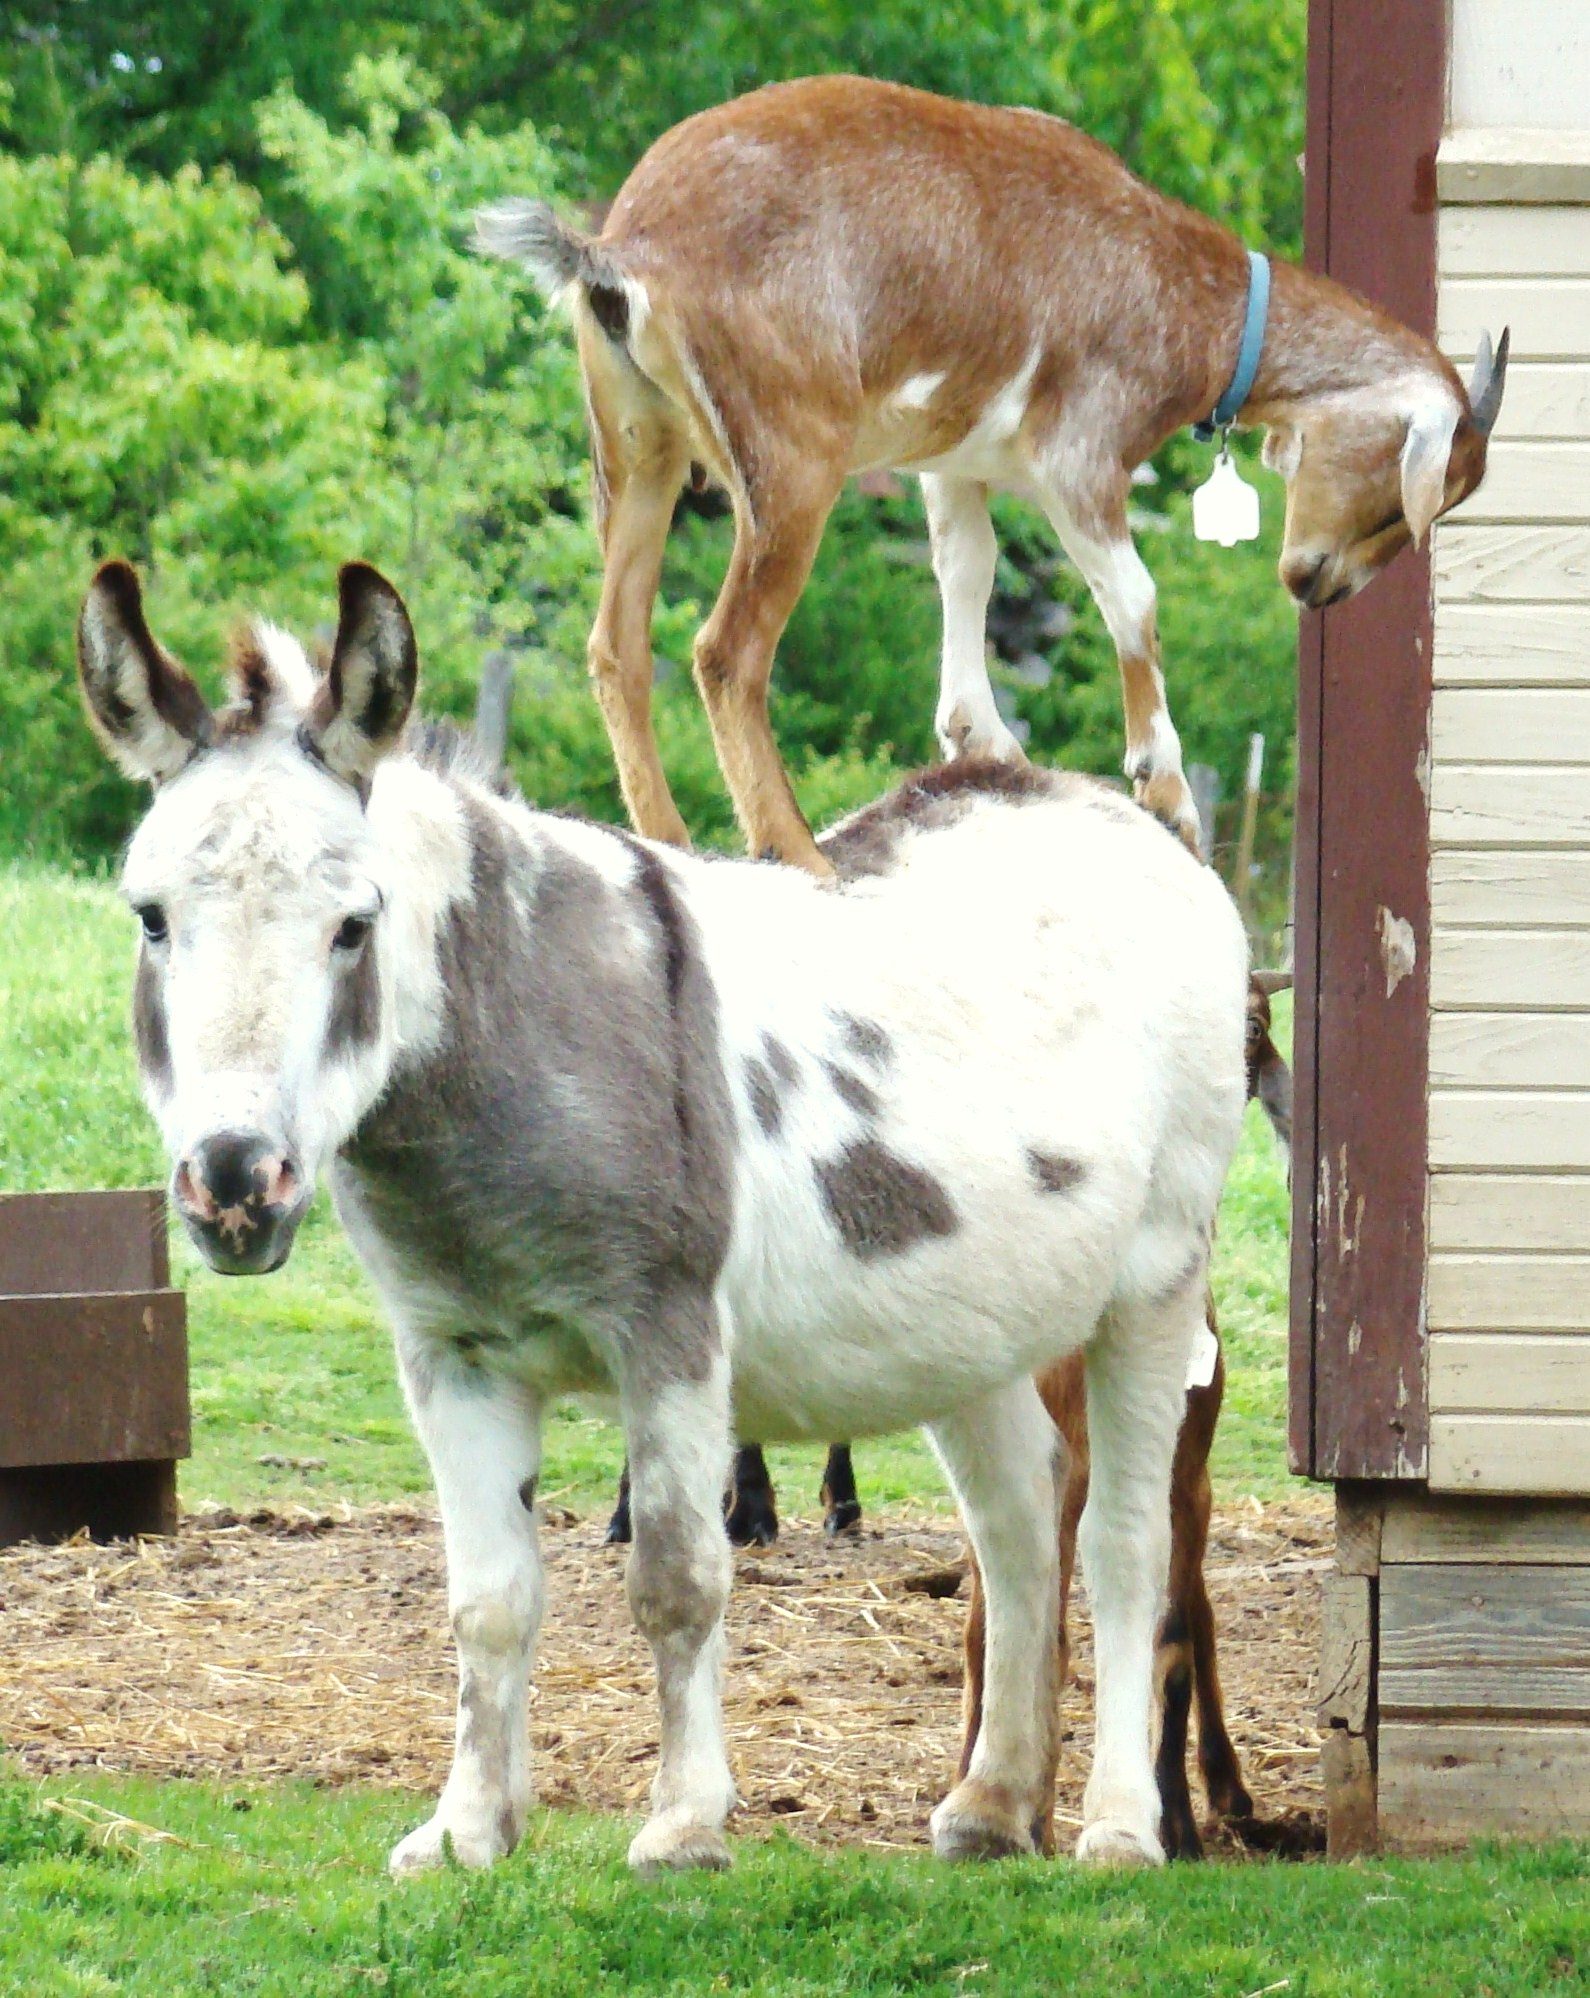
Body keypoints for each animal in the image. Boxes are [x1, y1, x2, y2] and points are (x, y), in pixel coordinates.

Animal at [84, 559, 1249, 1875]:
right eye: (151, 918)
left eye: (353, 927)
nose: (235, 1184)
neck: (509, 1042)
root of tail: (1112, 810)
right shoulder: (452, 1356)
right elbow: (487, 1601)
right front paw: (467, 1831)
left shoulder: (669, 1332)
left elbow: (680, 1580)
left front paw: (685, 1826)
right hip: (972, 1316)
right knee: (1018, 1521)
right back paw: (993, 1806)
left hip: (1156, 1281)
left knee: (1124, 1543)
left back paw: (1119, 1827)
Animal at [478, 74, 1508, 877]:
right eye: (1404, 499)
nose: (1317, 583)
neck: (1189, 295)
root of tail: (624, 250)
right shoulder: (1081, 452)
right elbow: (1134, 598)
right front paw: (1165, 788)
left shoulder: (951, 462)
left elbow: (965, 569)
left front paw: (982, 737)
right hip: (791, 449)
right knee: (726, 651)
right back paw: (799, 852)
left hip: (636, 446)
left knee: (618, 645)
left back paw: (674, 842)